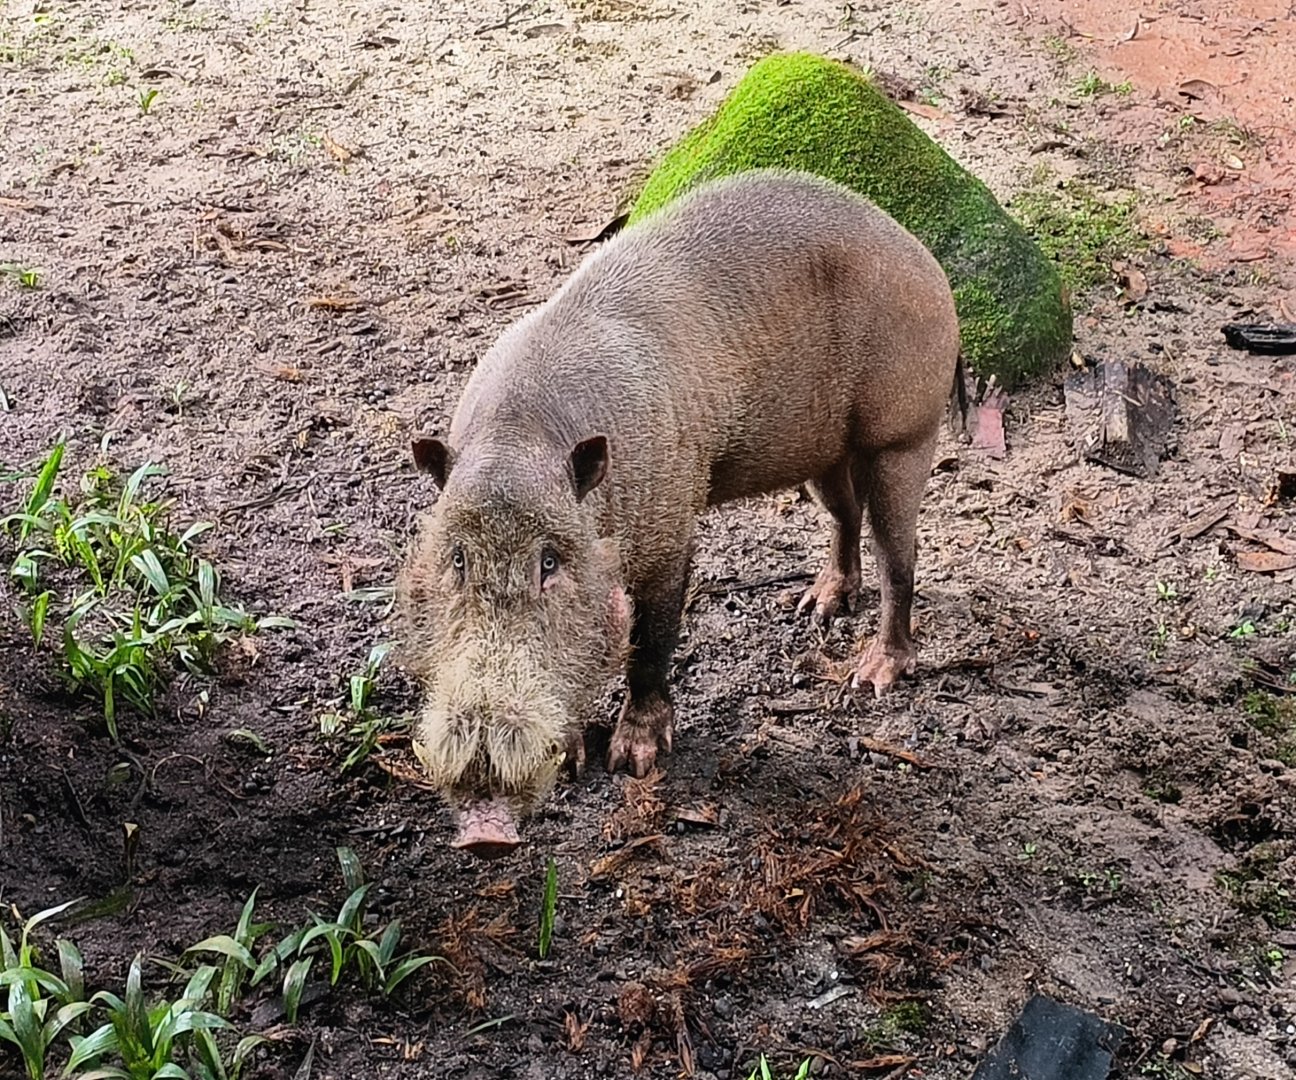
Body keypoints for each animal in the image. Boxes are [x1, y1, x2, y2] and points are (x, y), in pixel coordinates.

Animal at [397, 168, 963, 858]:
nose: (485, 833)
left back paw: (872, 674)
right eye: (456, 559)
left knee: (899, 554)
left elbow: (652, 639)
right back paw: (814, 604)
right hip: (823, 447)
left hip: (904, 431)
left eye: (550, 562)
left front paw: (633, 762)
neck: (522, 438)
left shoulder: (671, 530)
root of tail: (926, 260)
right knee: (842, 513)